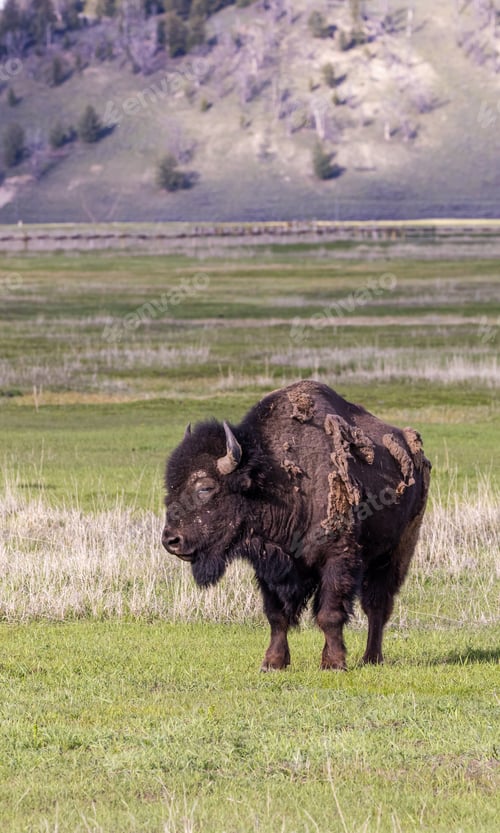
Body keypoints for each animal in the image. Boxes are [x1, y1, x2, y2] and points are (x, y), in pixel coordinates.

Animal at [162, 381, 431, 670]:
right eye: (171, 486)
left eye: (205, 487)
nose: (171, 540)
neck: (274, 481)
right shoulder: (269, 566)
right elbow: (277, 615)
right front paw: (272, 662)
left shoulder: (338, 557)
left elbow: (330, 614)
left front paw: (334, 663)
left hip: (397, 550)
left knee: (377, 605)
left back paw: (371, 658)